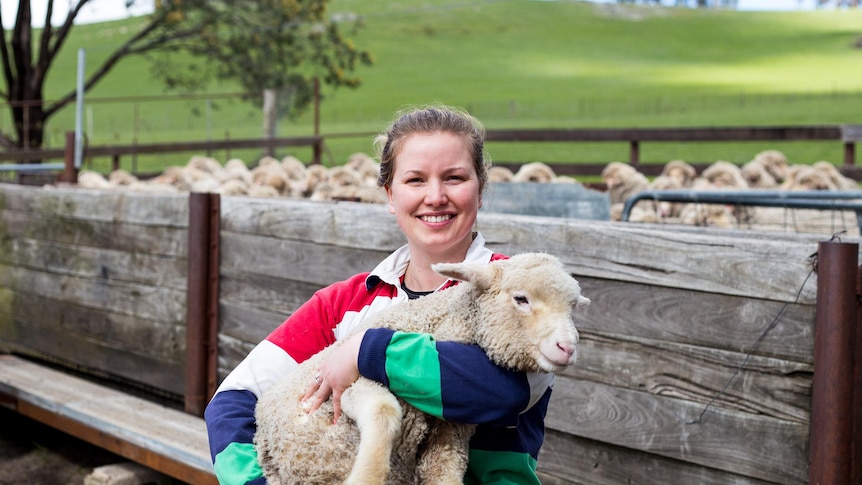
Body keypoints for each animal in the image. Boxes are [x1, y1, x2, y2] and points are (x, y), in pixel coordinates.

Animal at [253, 251, 592, 482]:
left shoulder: (449, 436)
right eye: (521, 299)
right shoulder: (347, 384)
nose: (567, 348)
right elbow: (383, 410)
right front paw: (366, 477)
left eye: (572, 307)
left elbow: (444, 471)